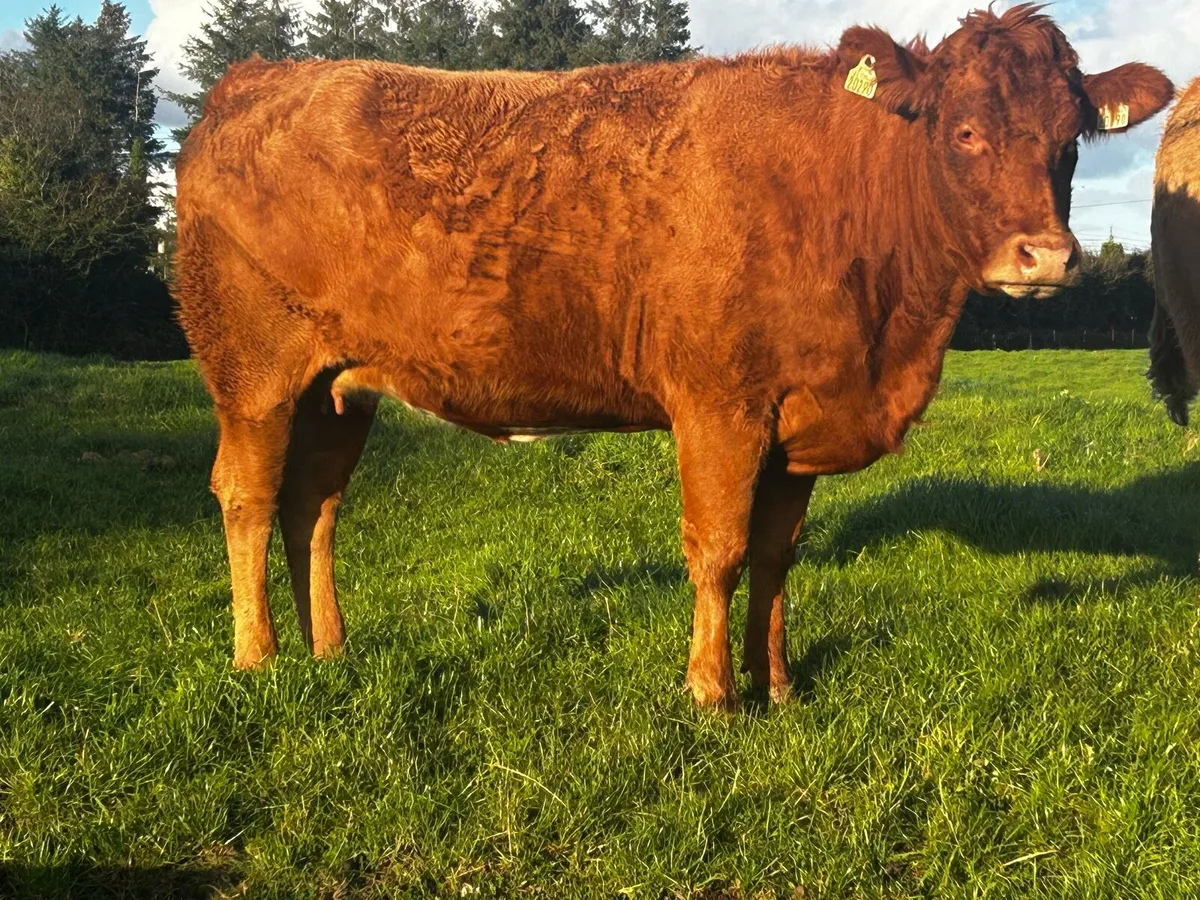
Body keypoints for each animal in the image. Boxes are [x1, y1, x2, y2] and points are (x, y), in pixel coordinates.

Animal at [174, 4, 1172, 709]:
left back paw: (331, 650)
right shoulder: (719, 405)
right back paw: (259, 659)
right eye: (962, 130)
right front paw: (709, 693)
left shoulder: (796, 420)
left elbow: (777, 553)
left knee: (313, 506)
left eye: (1070, 140)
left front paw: (779, 687)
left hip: (339, 386)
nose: (1044, 257)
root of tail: (262, 77)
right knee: (247, 497)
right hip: (254, 372)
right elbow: (719, 549)